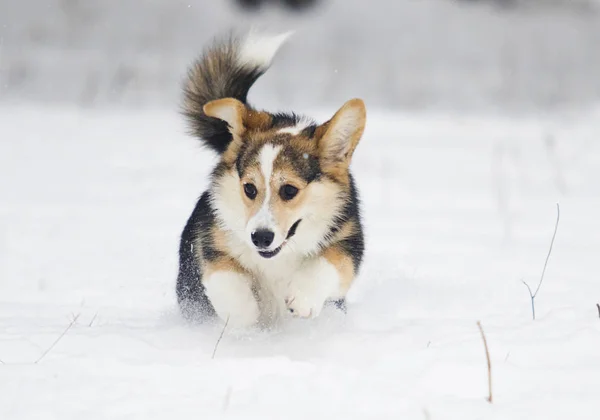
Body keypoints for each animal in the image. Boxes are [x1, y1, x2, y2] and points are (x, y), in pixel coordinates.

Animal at [176, 32, 366, 328]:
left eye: (289, 190)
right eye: (249, 188)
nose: (260, 238)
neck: (278, 257)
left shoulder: (347, 242)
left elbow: (330, 263)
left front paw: (302, 299)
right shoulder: (211, 242)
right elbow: (225, 275)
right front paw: (243, 317)